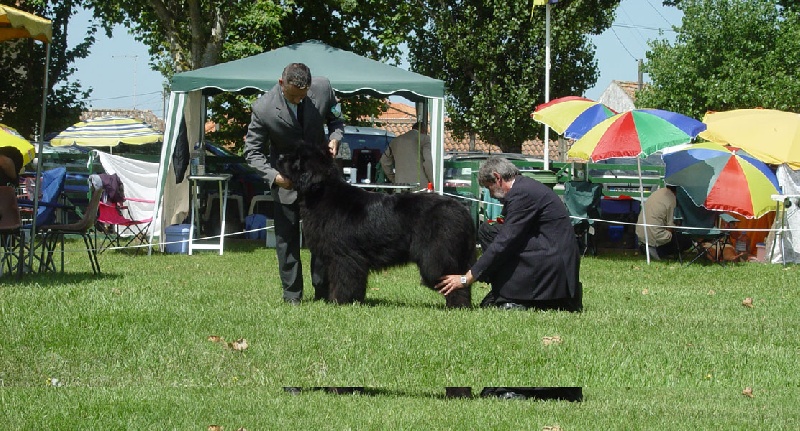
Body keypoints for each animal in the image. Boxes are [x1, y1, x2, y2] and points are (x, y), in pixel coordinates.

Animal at [278, 145, 476, 308]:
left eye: (296, 159)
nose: (279, 156)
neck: (321, 194)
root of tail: (462, 209)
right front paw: (354, 301)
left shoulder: (343, 257)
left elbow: (343, 281)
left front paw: (337, 301)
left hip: (435, 258)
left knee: (453, 281)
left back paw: (456, 306)